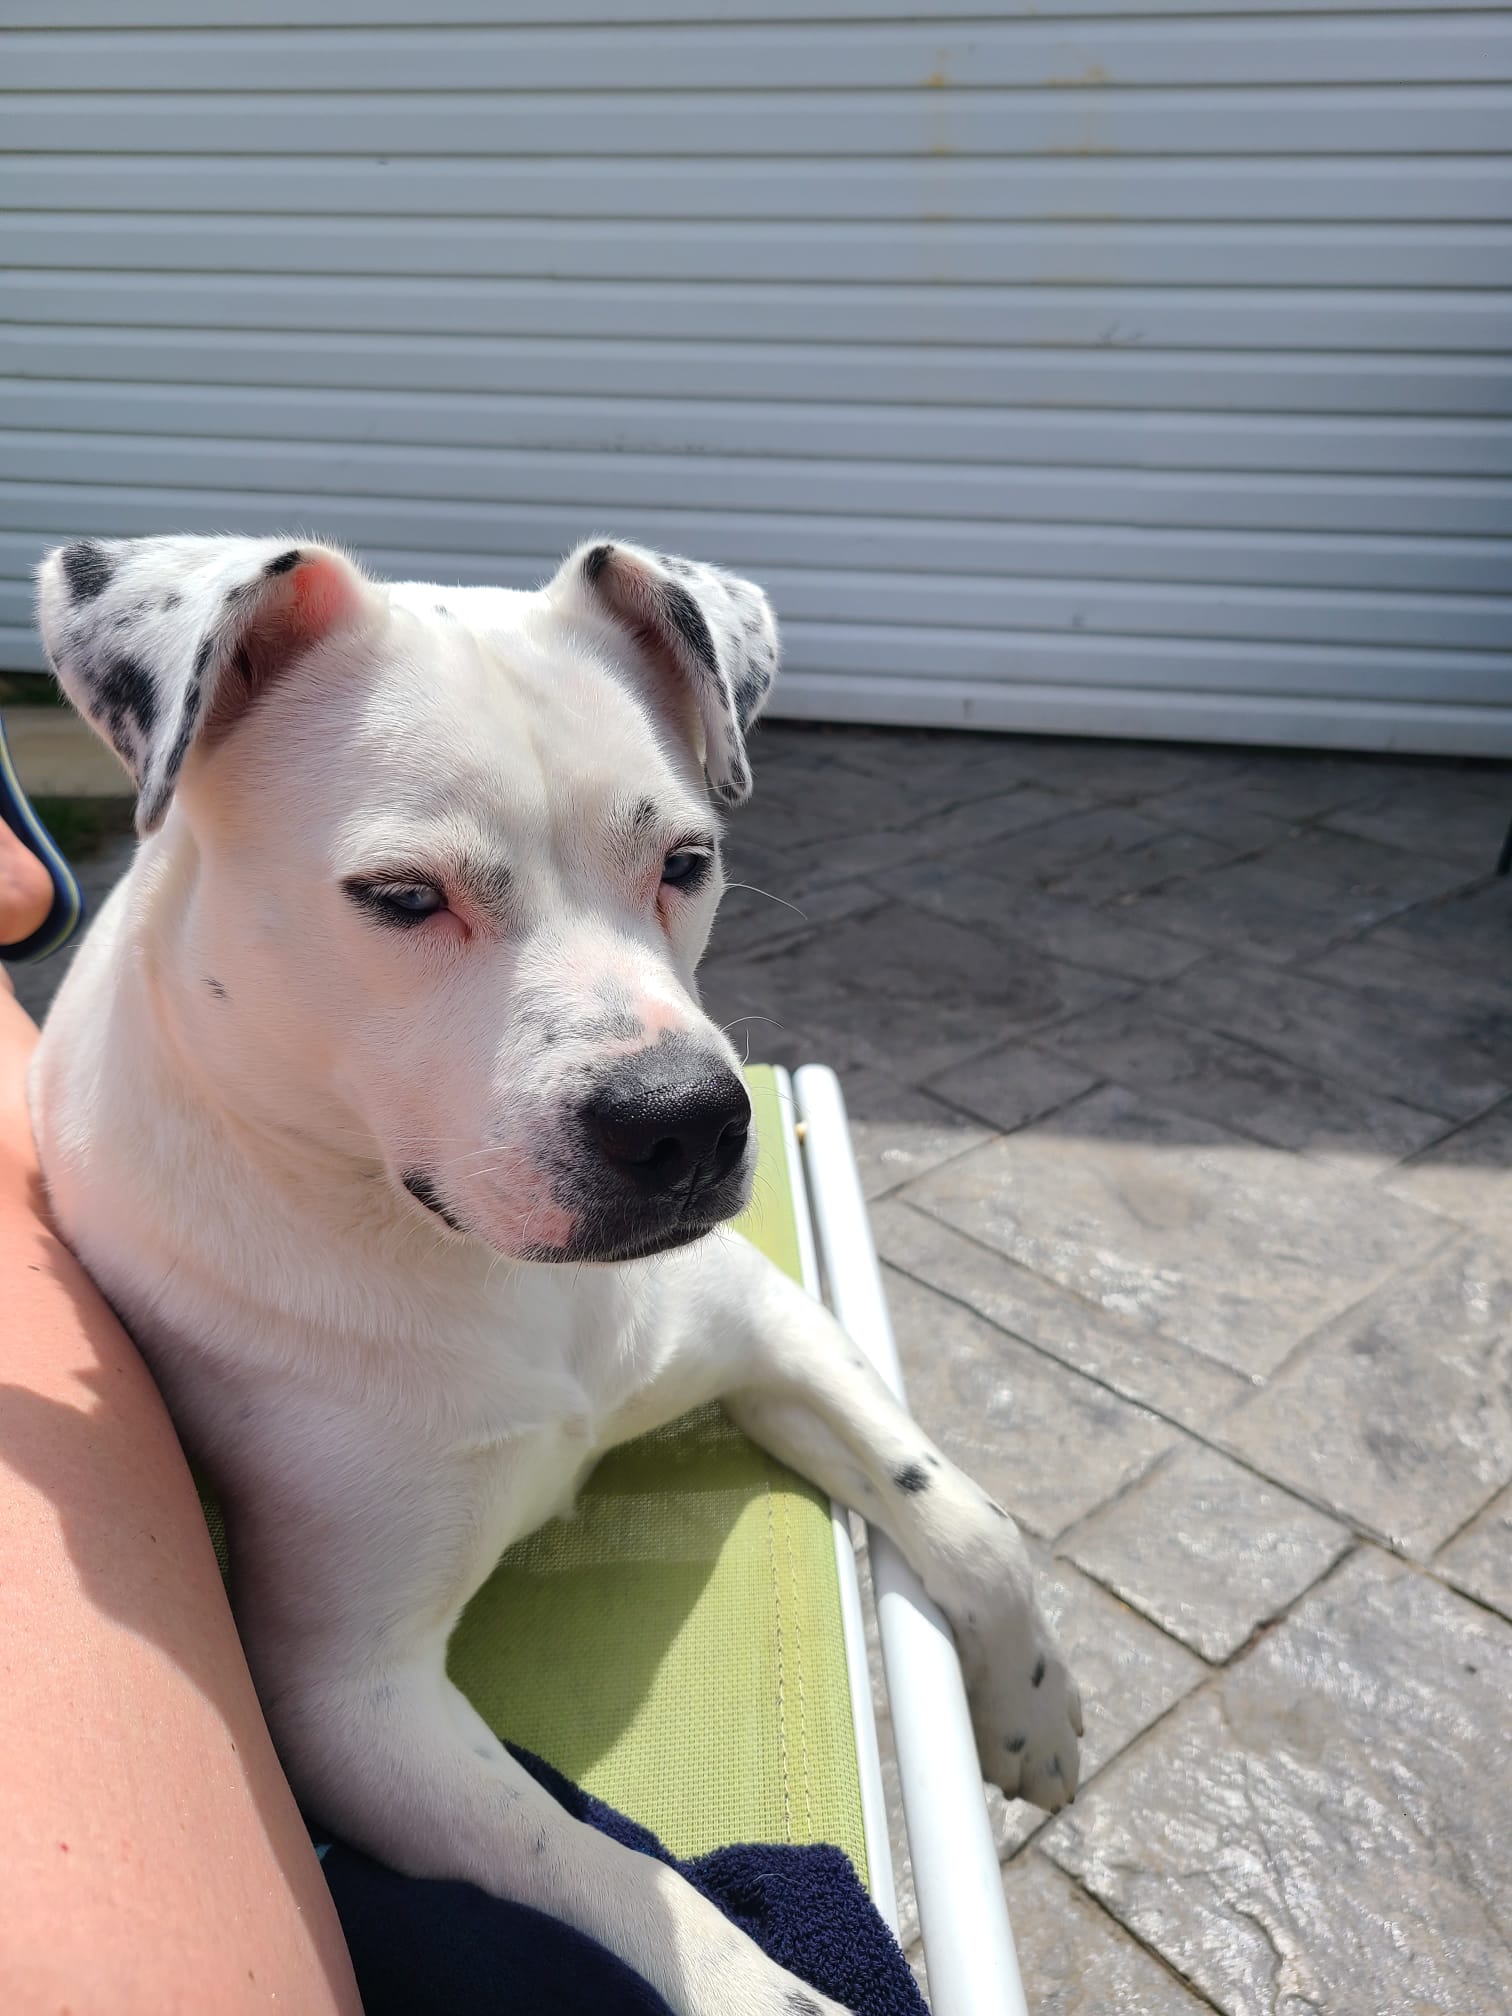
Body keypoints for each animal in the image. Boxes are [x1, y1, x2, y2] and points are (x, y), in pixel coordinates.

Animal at [31, 534, 1080, 2014]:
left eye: (688, 860)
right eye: (404, 899)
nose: (684, 1121)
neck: (481, 1267)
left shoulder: (769, 1323)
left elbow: (964, 1510)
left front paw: (1035, 1712)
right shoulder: (355, 1702)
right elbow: (615, 1876)